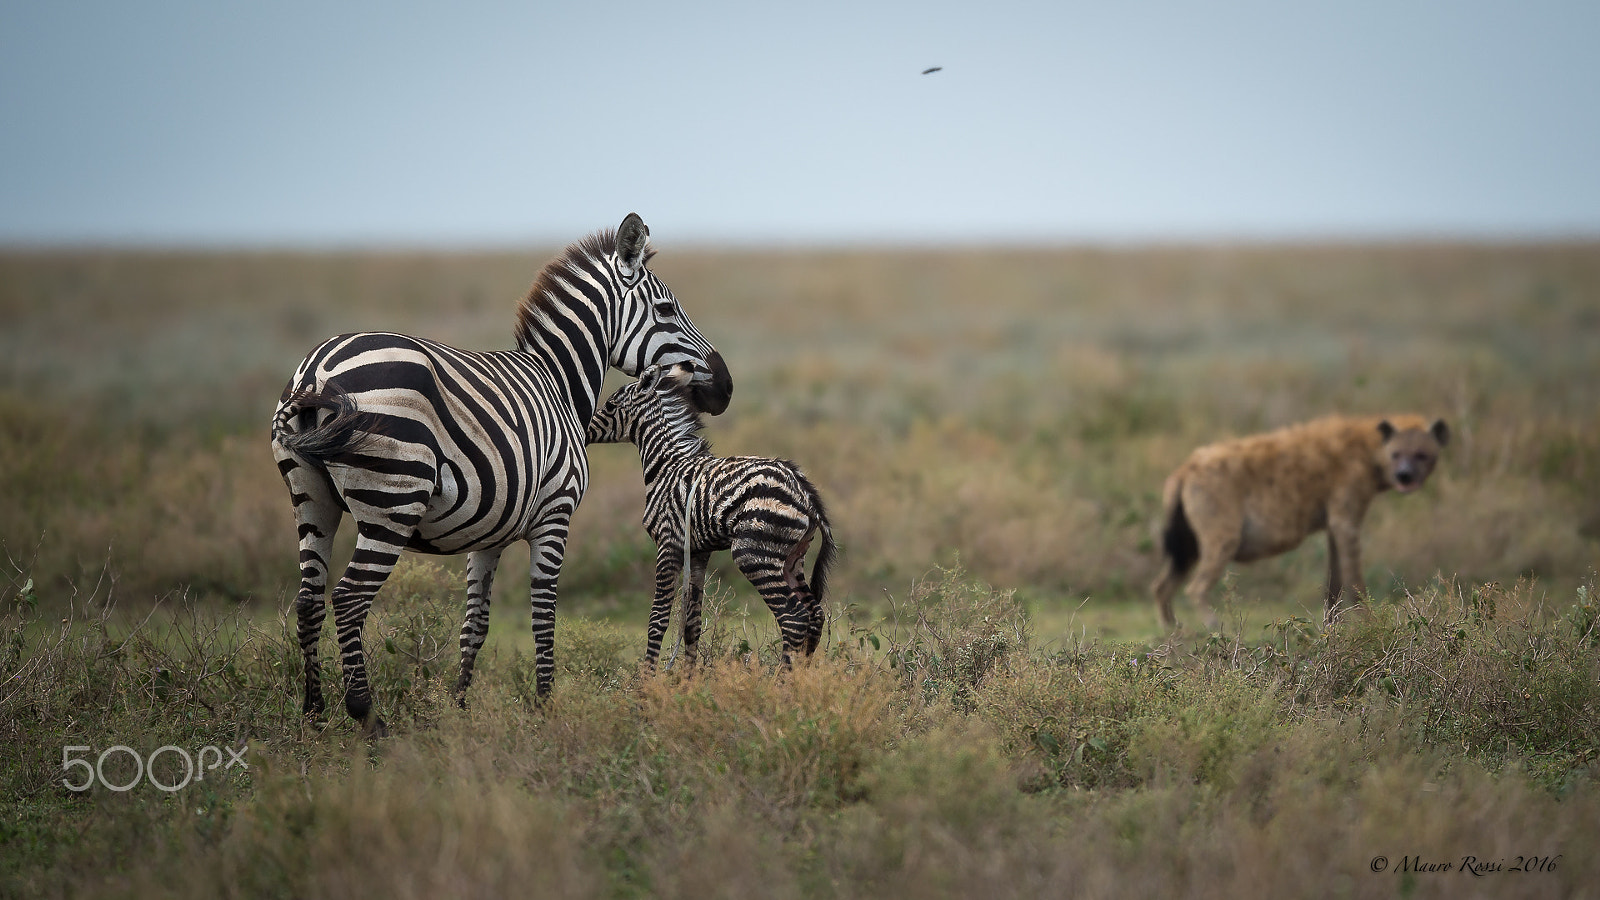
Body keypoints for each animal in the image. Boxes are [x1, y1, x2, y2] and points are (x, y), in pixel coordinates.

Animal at [268, 212, 732, 733]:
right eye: (667, 308)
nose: (727, 386)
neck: (559, 381)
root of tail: (317, 370)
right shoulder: (555, 514)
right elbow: (544, 612)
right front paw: (546, 706)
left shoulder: (487, 531)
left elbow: (475, 623)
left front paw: (459, 708)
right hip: (392, 500)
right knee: (348, 599)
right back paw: (368, 719)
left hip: (311, 498)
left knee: (309, 600)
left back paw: (313, 716)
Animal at [588, 360, 838, 662]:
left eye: (610, 405)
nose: (584, 430)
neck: (666, 465)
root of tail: (802, 488)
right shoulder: (697, 552)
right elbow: (691, 623)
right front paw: (688, 674)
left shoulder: (668, 542)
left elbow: (657, 619)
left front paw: (647, 674)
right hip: (792, 557)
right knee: (815, 615)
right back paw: (803, 673)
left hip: (754, 554)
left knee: (794, 618)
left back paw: (784, 675)